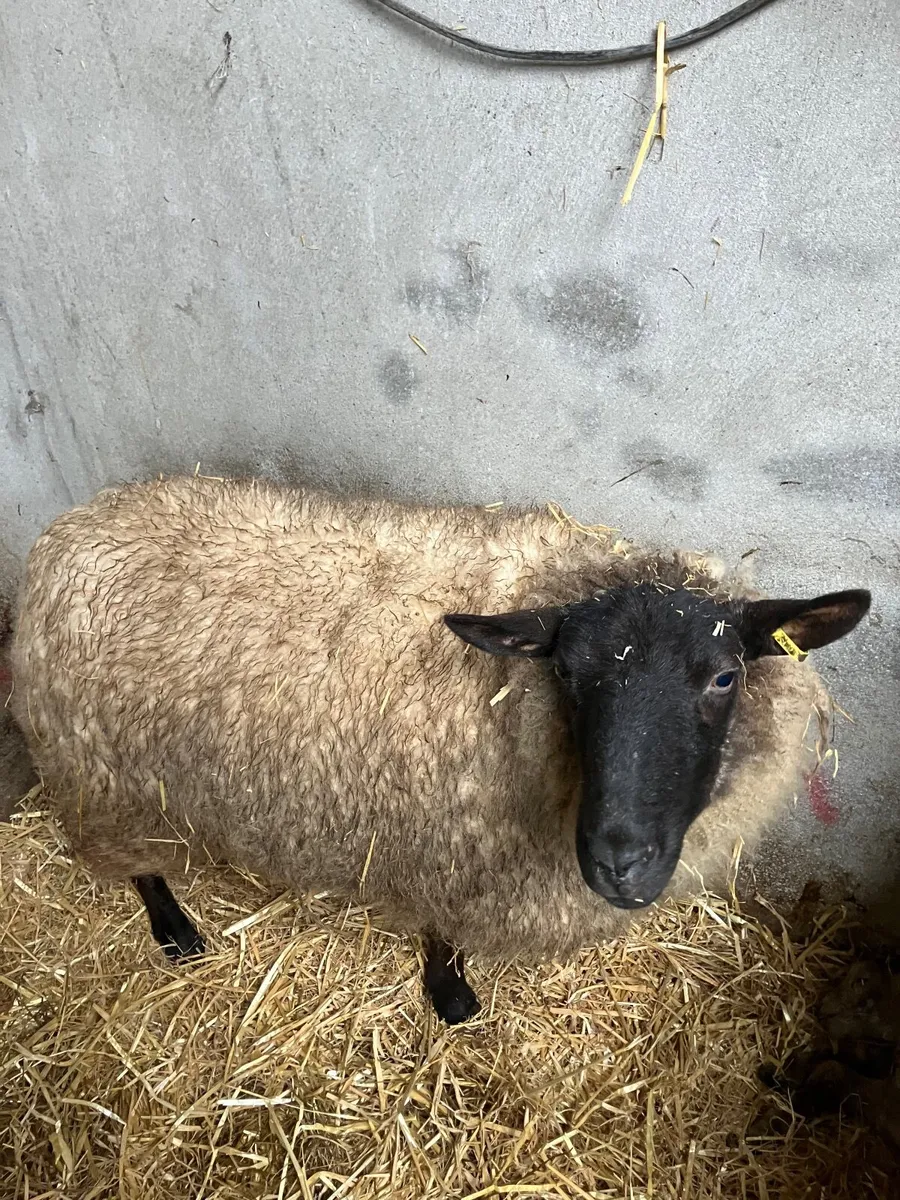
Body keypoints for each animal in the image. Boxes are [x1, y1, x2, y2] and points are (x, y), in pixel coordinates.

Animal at [9, 476, 869, 1022]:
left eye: (724, 677)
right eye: (566, 673)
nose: (617, 860)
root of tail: (64, 534)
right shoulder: (441, 844)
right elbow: (442, 936)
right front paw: (452, 999)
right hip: (103, 776)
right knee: (140, 867)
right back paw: (176, 933)